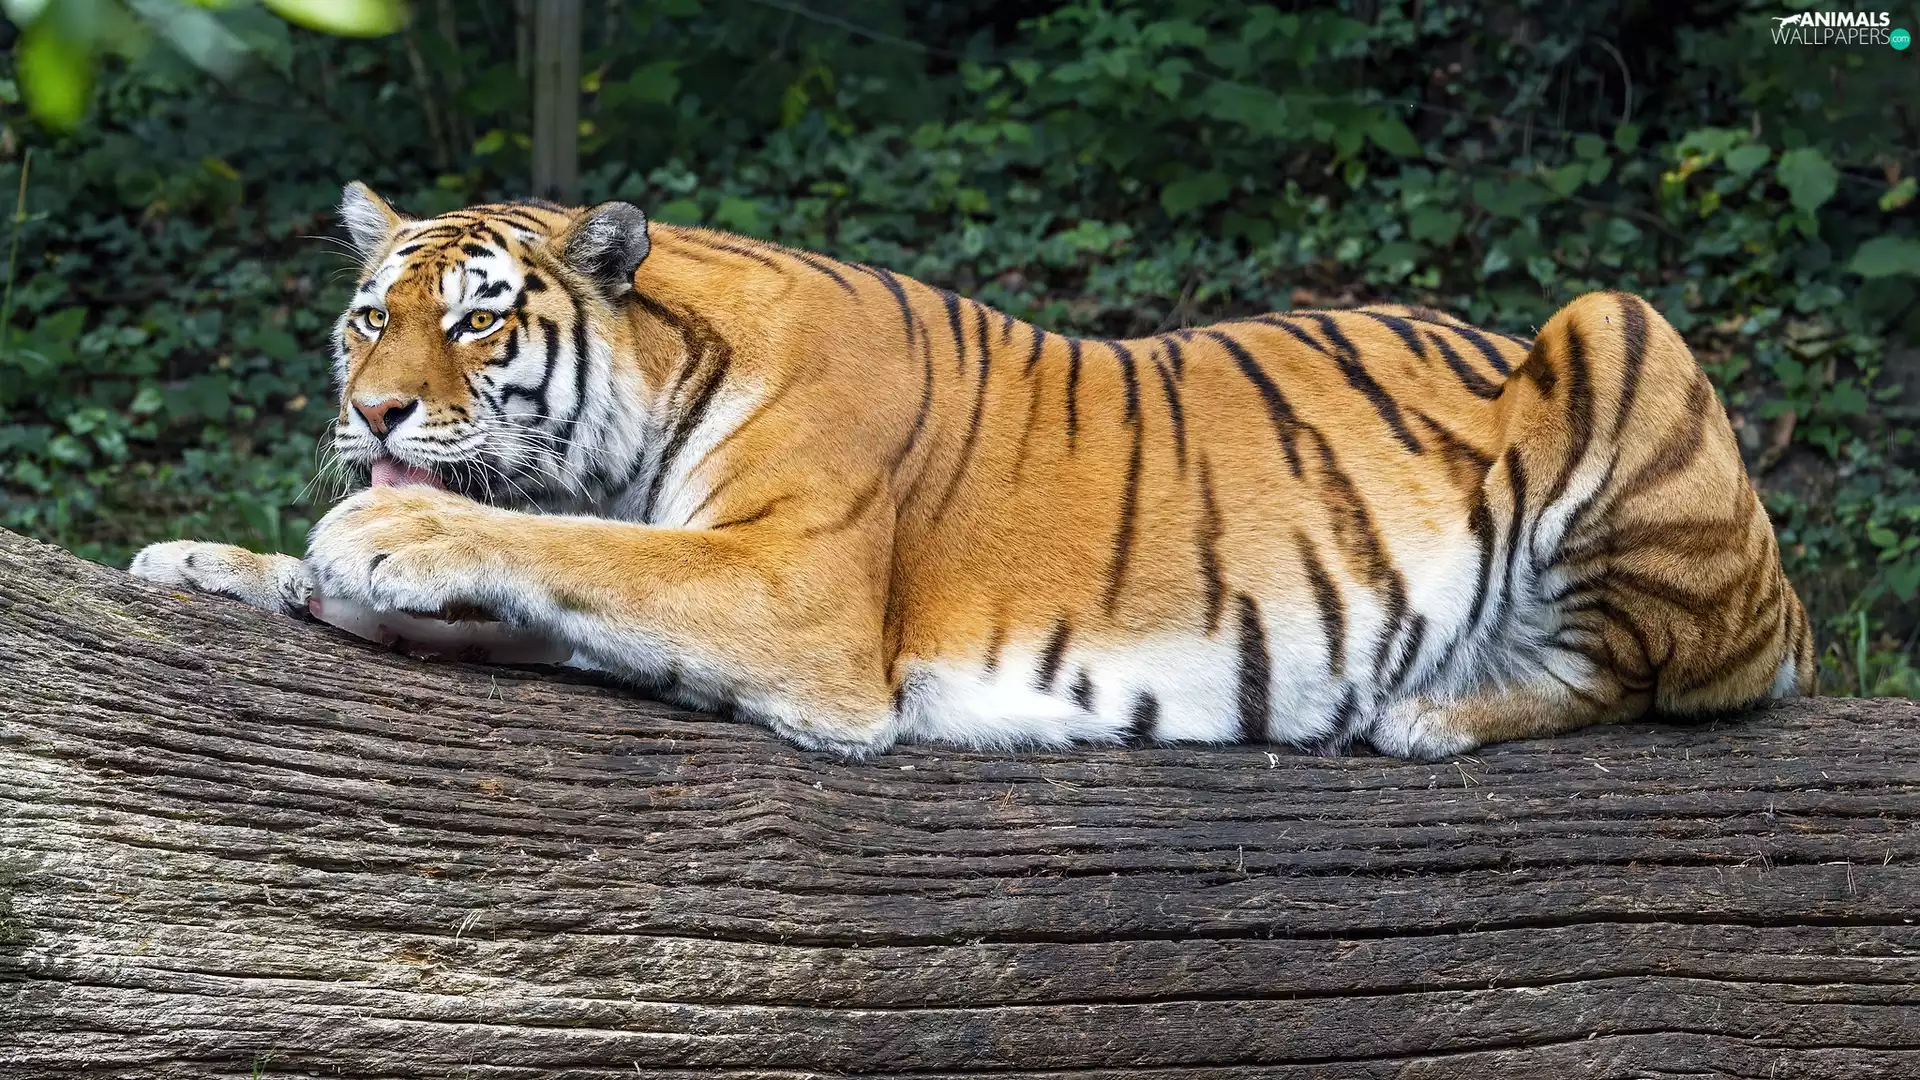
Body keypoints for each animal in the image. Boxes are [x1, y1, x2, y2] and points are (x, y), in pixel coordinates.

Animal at [129, 182, 1816, 760]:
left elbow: (585, 559)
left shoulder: (794, 595)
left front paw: (381, 537)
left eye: (480, 323)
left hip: (1616, 326)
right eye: (371, 316)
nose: (375, 414)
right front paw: (208, 561)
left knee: (1649, 677)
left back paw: (1432, 710)